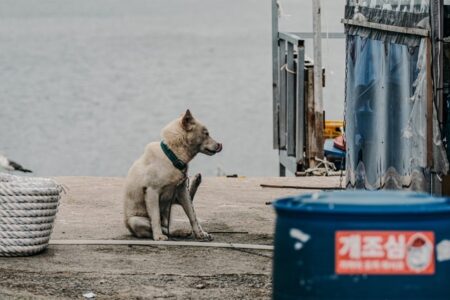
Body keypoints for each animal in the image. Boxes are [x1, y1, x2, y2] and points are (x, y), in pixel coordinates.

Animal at [123, 110, 221, 241]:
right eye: (206, 134)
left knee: (168, 226)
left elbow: (193, 215)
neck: (173, 156)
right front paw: (158, 236)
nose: (220, 145)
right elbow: (155, 218)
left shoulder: (182, 191)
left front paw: (200, 233)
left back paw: (180, 231)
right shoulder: (152, 192)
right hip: (136, 221)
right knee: (158, 227)